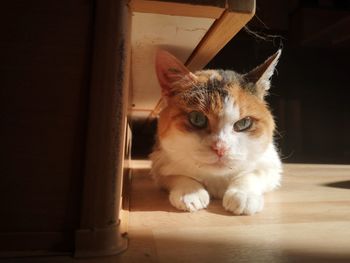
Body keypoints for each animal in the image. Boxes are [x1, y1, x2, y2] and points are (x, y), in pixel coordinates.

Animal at [149, 48, 284, 216]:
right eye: (197, 118)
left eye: (244, 123)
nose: (221, 148)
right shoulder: (160, 162)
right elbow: (176, 175)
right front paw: (190, 192)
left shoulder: (271, 164)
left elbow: (252, 174)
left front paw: (243, 195)